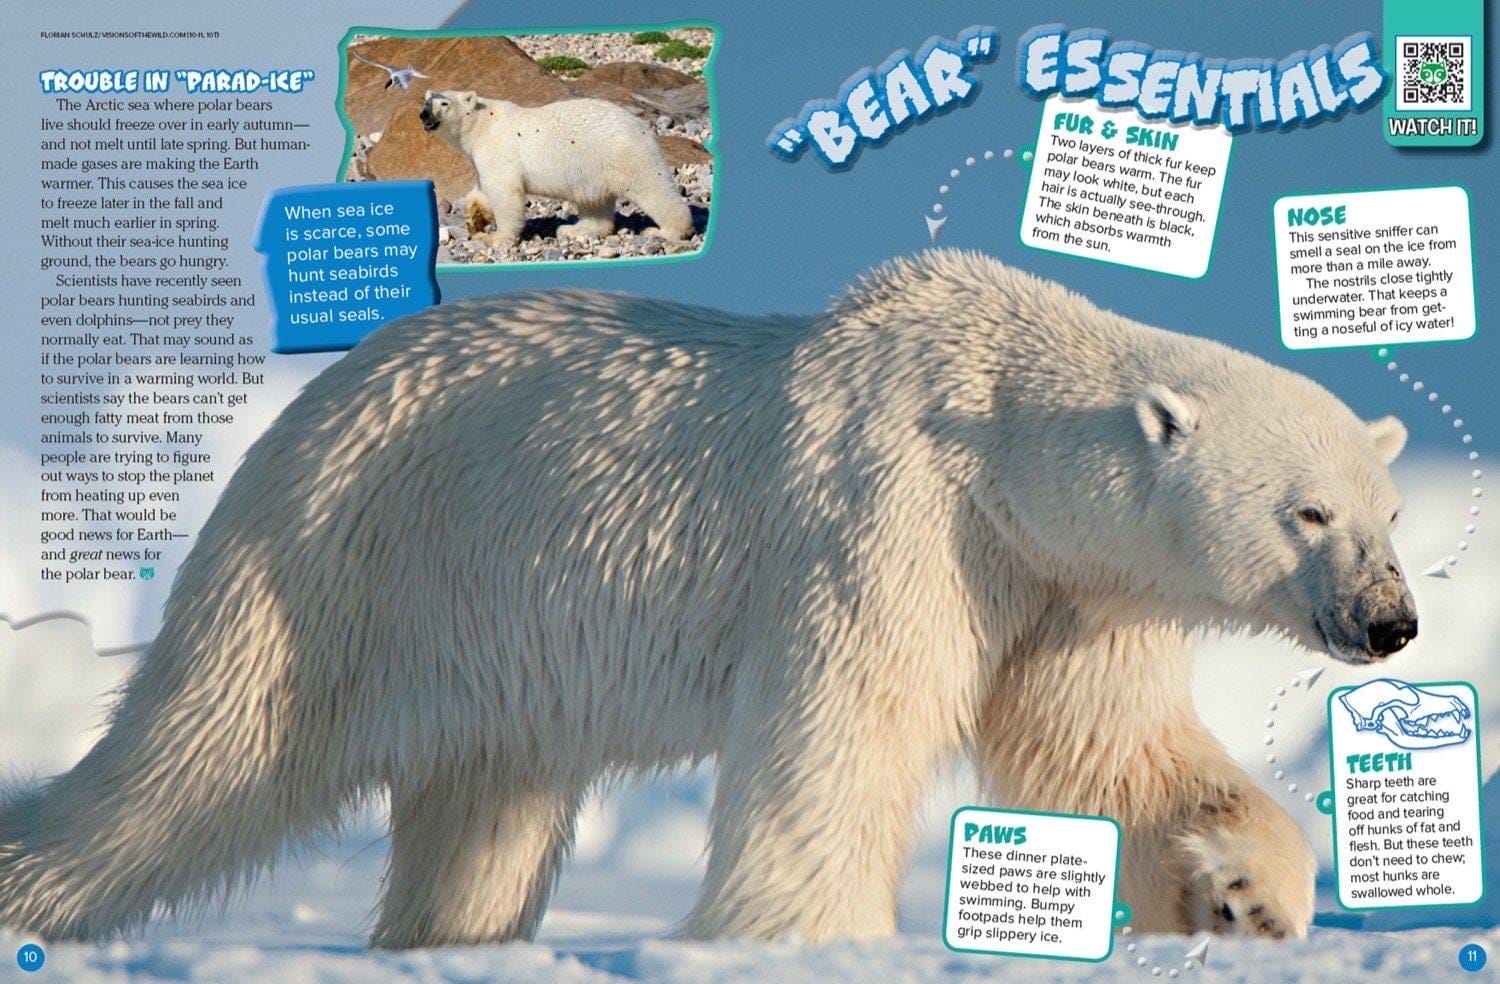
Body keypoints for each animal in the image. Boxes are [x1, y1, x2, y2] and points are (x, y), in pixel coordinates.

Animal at [0, 251, 1415, 947]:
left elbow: (1113, 751)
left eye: (1385, 511)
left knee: (484, 817)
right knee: (192, 769)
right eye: (1308, 511)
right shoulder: (893, 522)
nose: (1392, 622)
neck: (1001, 435)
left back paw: (455, 941)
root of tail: (318, 396)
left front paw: (1248, 893)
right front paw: (806, 936)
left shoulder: (1065, 589)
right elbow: (842, 735)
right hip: (340, 567)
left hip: (496, 651)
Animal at [420, 90, 695, 245]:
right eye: (425, 101)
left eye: (443, 104)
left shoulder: (499, 148)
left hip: (626, 155)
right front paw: (474, 218)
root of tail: (643, 126)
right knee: (595, 202)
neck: (482, 124)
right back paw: (574, 229)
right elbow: (484, 188)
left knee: (652, 187)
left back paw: (666, 231)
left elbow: (504, 192)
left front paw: (497, 237)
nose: (424, 115)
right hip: (594, 168)